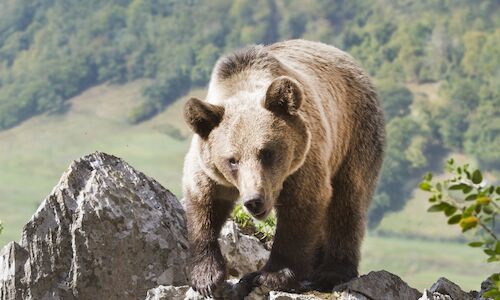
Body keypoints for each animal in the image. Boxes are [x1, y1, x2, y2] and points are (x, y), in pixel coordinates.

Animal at [182, 39, 384, 298]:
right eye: (232, 160)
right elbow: (203, 203)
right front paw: (206, 277)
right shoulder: (208, 167)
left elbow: (302, 207)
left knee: (347, 200)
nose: (254, 201)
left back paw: (331, 271)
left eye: (266, 152)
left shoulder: (303, 162)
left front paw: (274, 275)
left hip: (354, 134)